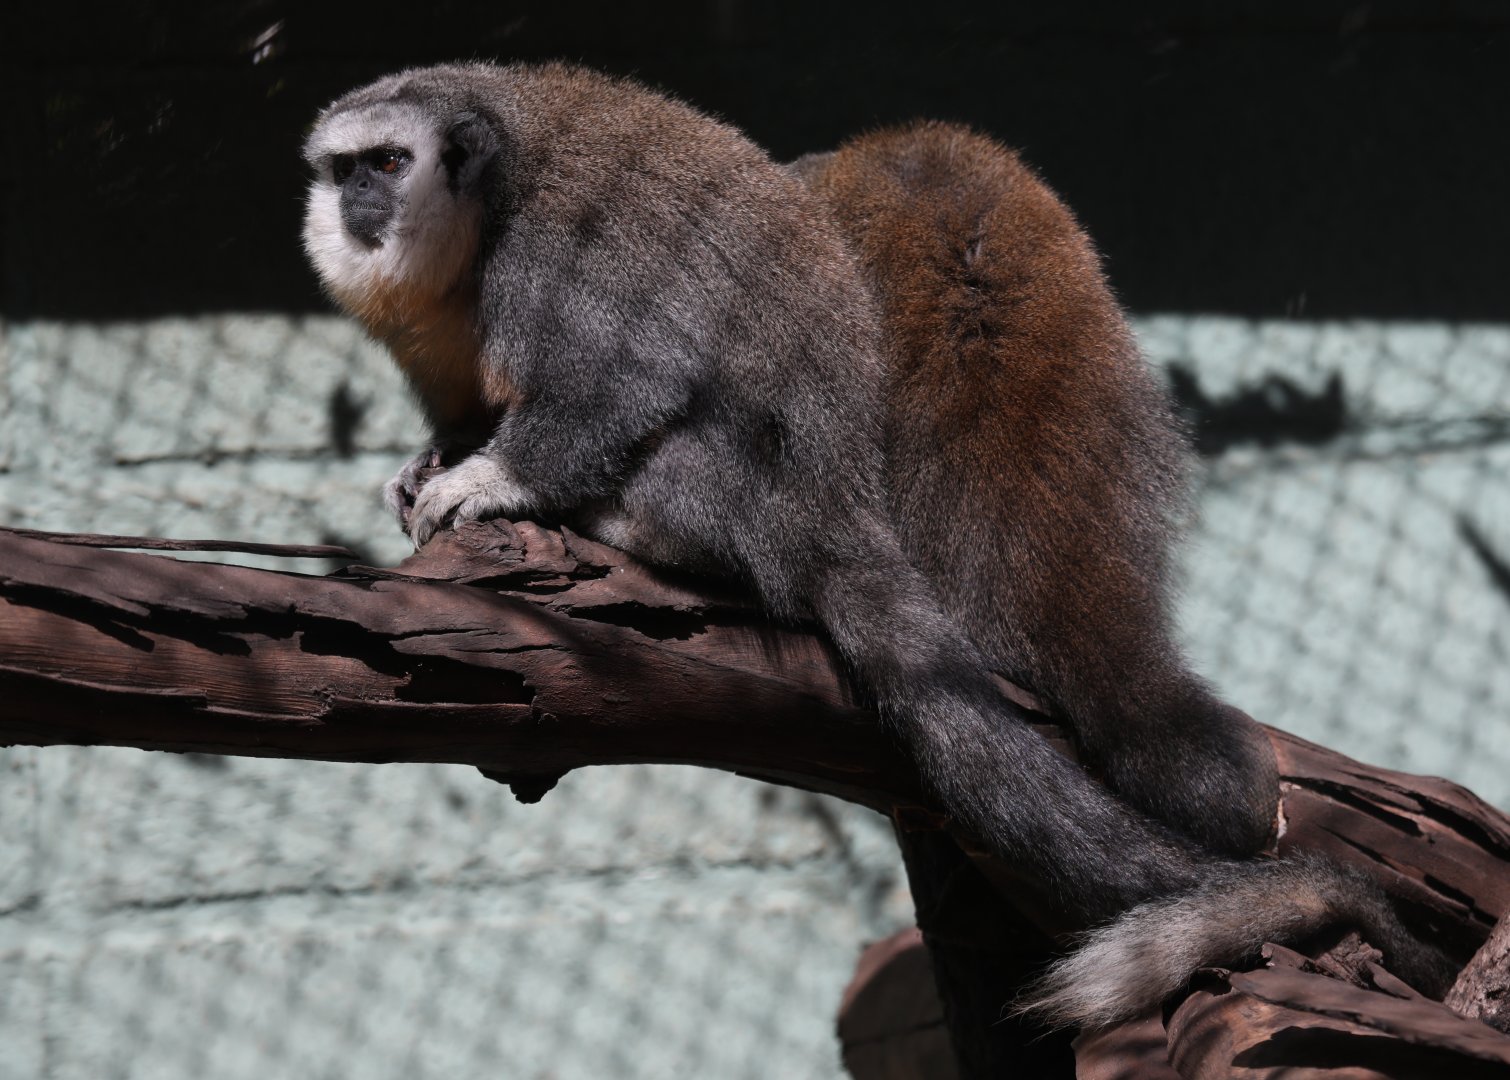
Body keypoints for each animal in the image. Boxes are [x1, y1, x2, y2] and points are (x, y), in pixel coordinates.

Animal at [300, 62, 1454, 1027]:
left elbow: (625, 379)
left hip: (755, 499)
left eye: (389, 164)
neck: (479, 215)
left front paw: (488, 479)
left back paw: (640, 526)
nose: (356, 208)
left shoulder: (549, 257)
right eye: (343, 169)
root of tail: (838, 513)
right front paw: (435, 457)